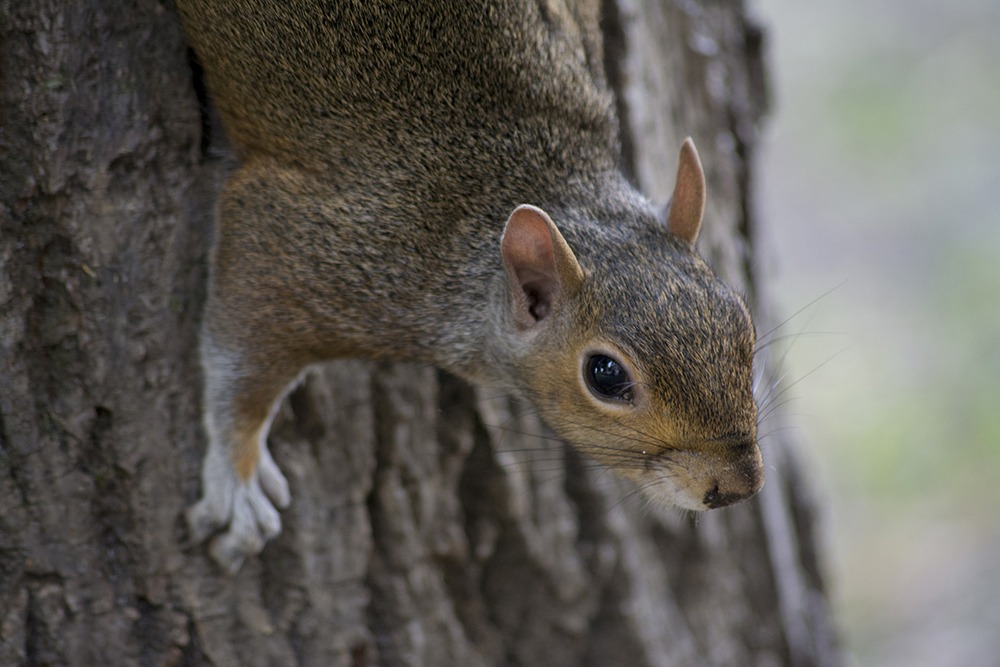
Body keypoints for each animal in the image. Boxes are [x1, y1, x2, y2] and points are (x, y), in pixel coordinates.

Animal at [177, 0, 764, 573]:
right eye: (604, 375)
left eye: (743, 322)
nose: (736, 487)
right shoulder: (317, 249)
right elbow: (243, 344)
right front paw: (238, 483)